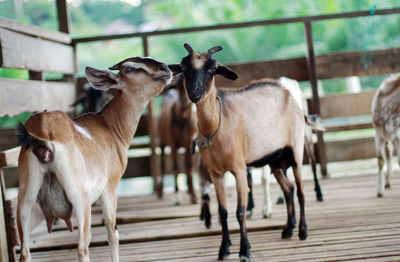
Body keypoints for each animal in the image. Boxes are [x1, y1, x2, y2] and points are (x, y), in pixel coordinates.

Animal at [16, 56, 172, 260]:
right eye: (129, 69)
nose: (166, 69)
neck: (110, 127)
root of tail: (43, 133)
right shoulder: (109, 188)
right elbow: (112, 232)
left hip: (25, 196)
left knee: (25, 252)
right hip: (79, 197)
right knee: (82, 248)